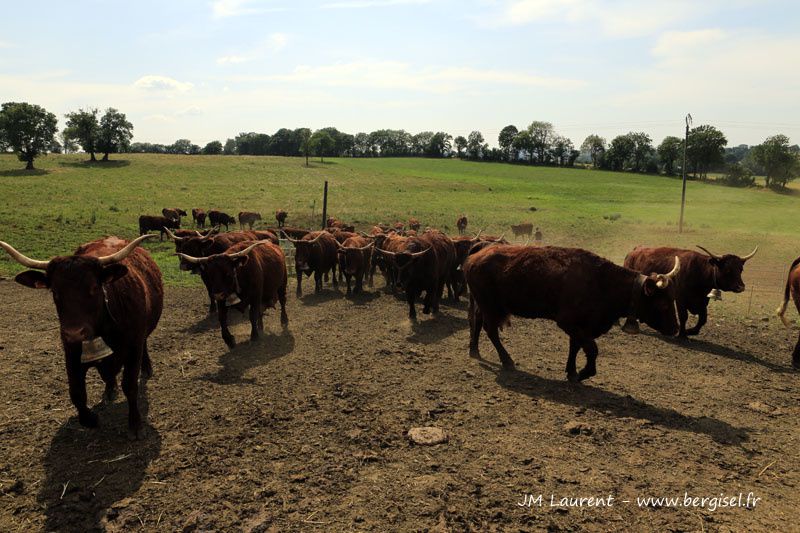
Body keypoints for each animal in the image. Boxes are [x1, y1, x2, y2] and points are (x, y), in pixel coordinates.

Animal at [0, 236, 164, 436]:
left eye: (94, 287)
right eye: (55, 291)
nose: (74, 332)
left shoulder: (134, 347)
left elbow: (130, 385)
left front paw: (135, 425)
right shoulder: (71, 352)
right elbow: (76, 392)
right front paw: (90, 419)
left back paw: (146, 367)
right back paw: (110, 390)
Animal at [462, 245, 680, 378]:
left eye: (673, 299)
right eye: (663, 304)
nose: (676, 329)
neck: (601, 281)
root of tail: (478, 253)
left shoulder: (581, 326)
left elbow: (575, 347)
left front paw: (572, 371)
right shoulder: (568, 322)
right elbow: (591, 348)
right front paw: (584, 373)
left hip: (487, 305)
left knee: (478, 322)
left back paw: (475, 350)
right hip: (491, 306)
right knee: (490, 329)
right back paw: (506, 360)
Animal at [624, 245, 756, 336]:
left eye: (740, 269)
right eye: (728, 270)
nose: (741, 287)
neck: (700, 271)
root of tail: (635, 250)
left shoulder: (703, 301)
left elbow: (703, 319)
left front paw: (691, 331)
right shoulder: (680, 299)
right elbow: (684, 316)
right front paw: (682, 334)